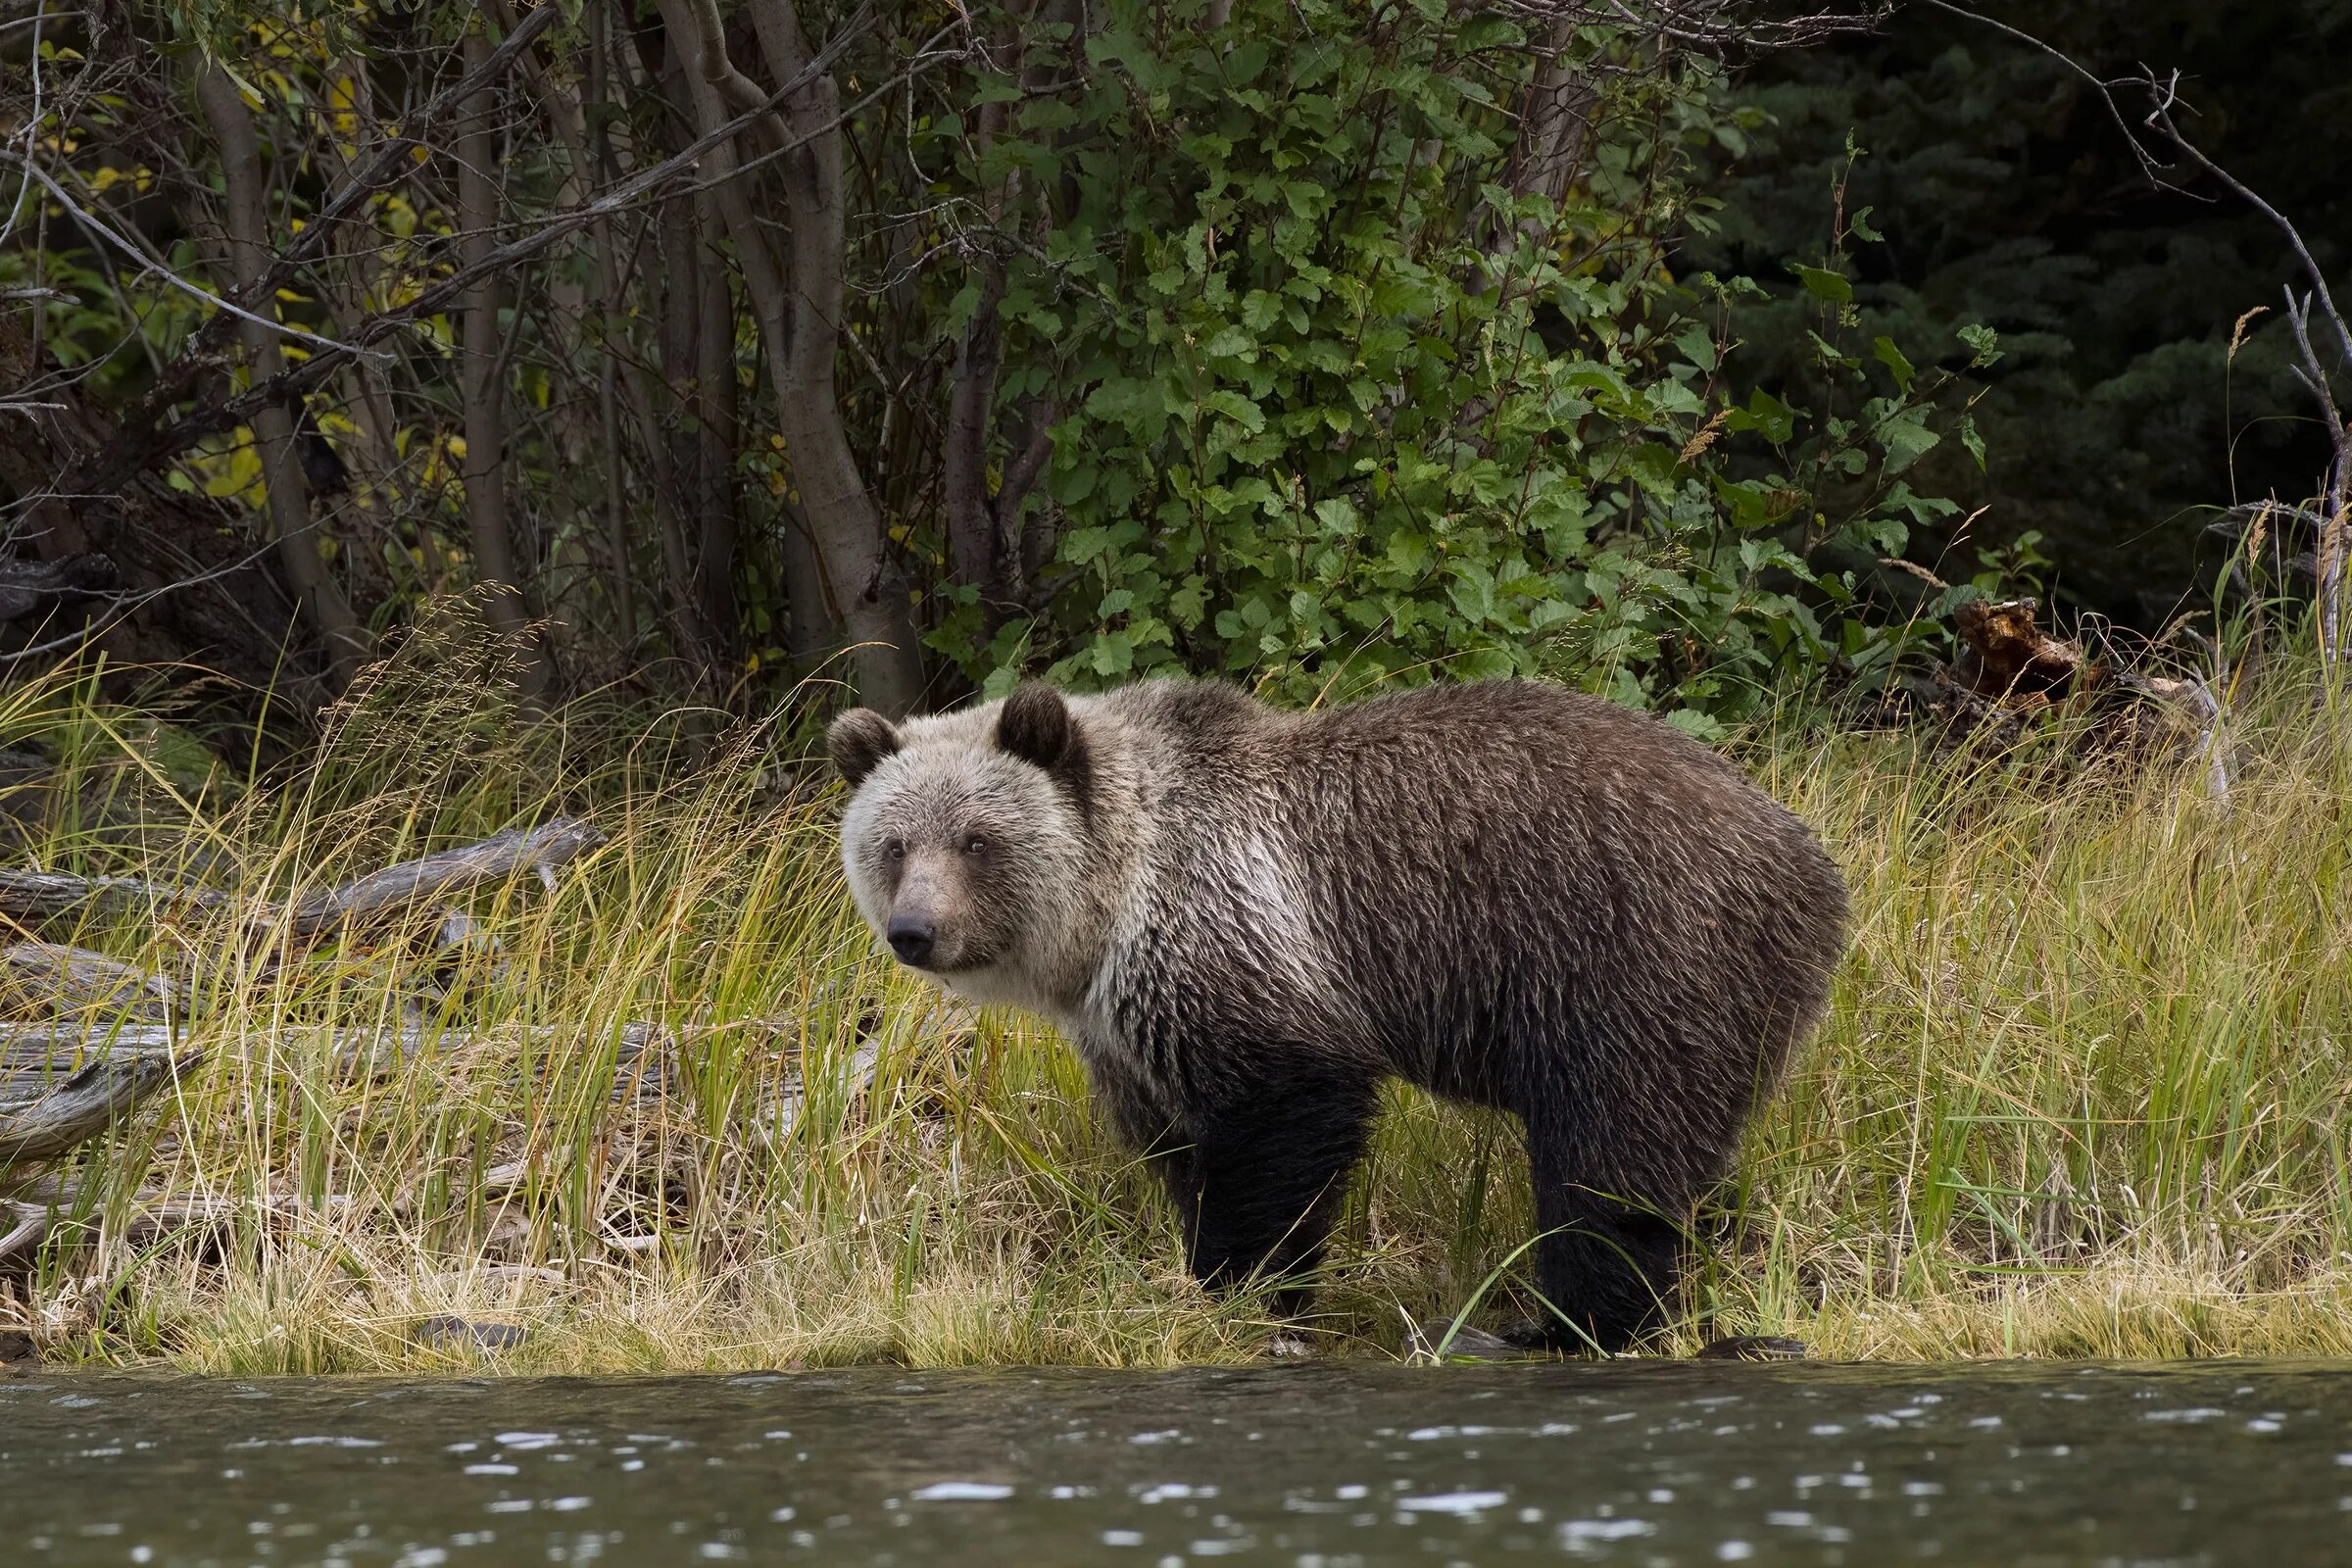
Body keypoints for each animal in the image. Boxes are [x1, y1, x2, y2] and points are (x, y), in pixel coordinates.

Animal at [832, 681, 1853, 1353]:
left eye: (976, 839)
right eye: (894, 843)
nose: (914, 931)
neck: (1105, 915)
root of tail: (1812, 864)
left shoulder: (1237, 937)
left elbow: (1285, 1118)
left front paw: (1246, 1287)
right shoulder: (1128, 1032)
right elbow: (1177, 1144)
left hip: (1633, 958)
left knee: (1609, 1160)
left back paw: (1552, 1326)